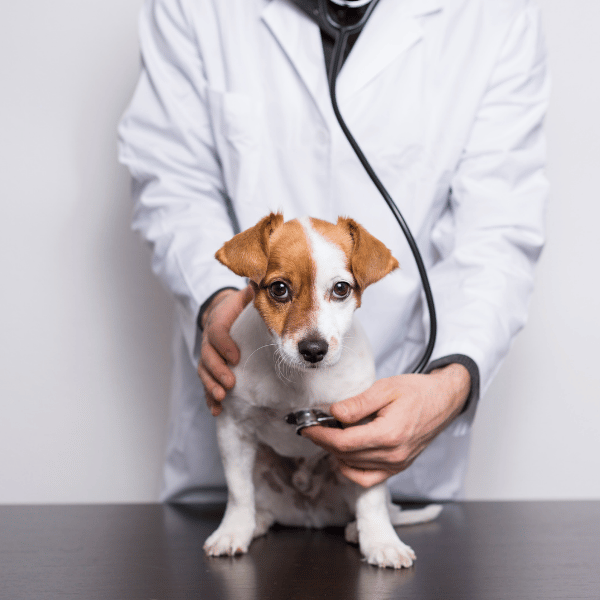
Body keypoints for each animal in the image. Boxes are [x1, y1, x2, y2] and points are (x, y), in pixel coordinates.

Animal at [204, 214, 442, 568]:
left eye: (341, 289)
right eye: (279, 289)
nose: (313, 349)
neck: (301, 382)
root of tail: (311, 515)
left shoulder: (365, 434)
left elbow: (371, 500)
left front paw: (381, 541)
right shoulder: (233, 429)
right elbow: (238, 491)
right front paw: (233, 531)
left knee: (377, 505)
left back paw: (358, 529)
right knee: (258, 501)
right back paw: (256, 521)